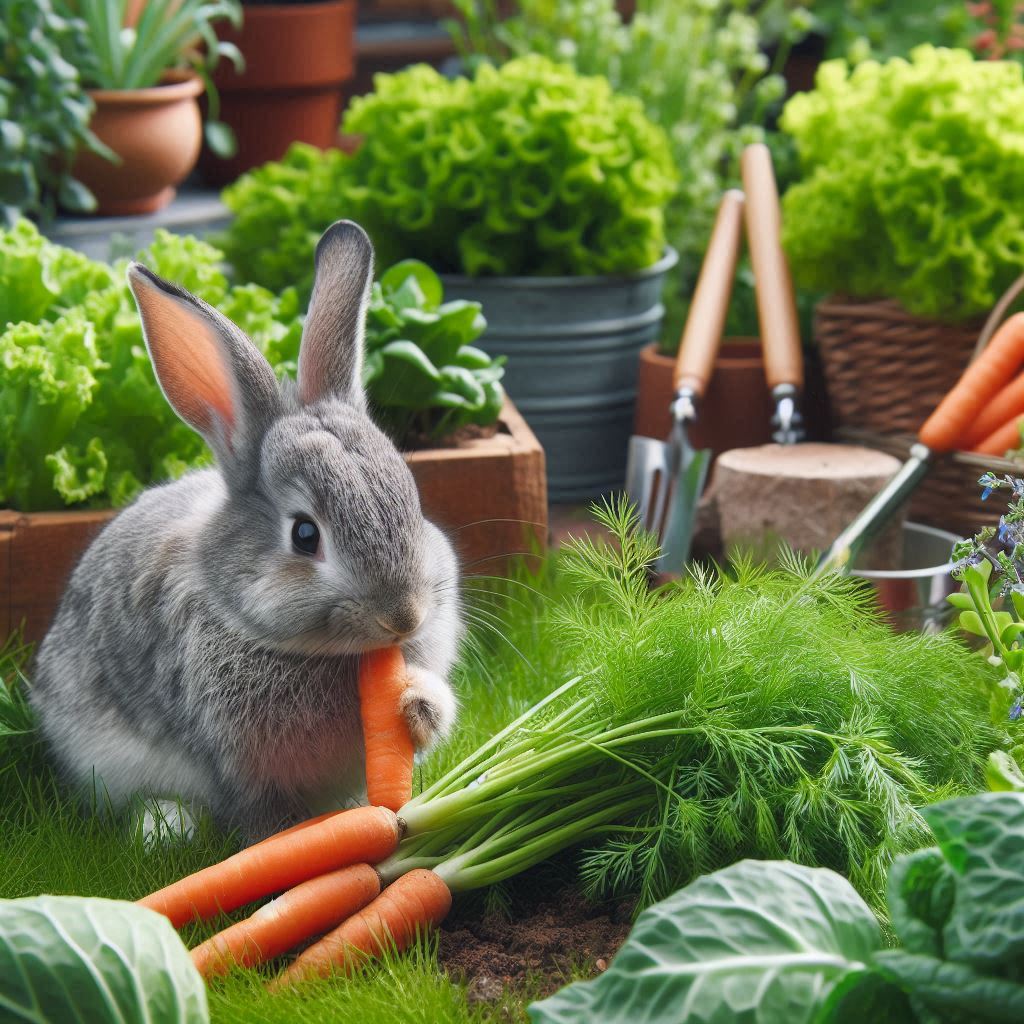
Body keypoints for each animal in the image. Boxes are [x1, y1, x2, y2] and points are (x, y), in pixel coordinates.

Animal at [30, 220, 462, 844]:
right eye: (305, 535)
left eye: (413, 497)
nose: (404, 617)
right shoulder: (239, 764)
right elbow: (260, 816)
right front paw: (289, 842)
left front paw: (415, 705)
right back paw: (165, 827)